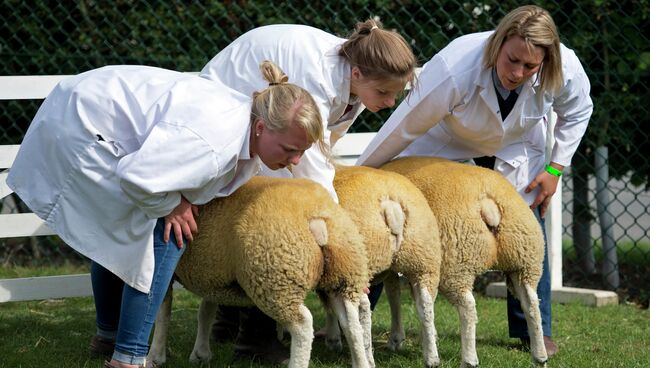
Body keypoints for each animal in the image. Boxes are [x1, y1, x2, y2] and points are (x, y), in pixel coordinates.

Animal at [146, 175, 370, 368]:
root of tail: (317, 216)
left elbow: (161, 313)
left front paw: (155, 357)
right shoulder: (211, 274)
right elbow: (206, 311)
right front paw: (200, 354)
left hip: (275, 276)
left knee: (303, 324)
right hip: (343, 274)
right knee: (351, 323)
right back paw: (361, 362)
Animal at [326, 165, 442, 368]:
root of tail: (390, 205)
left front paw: (333, 340)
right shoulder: (390, 272)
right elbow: (394, 294)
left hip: (358, 265)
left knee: (362, 310)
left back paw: (366, 358)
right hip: (423, 259)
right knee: (426, 305)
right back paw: (432, 358)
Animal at [382, 156, 544, 368]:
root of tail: (488, 203)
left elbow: (394, 295)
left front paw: (396, 339)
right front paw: (429, 337)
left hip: (456, 263)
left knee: (467, 307)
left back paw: (468, 359)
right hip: (525, 259)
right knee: (531, 303)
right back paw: (540, 356)